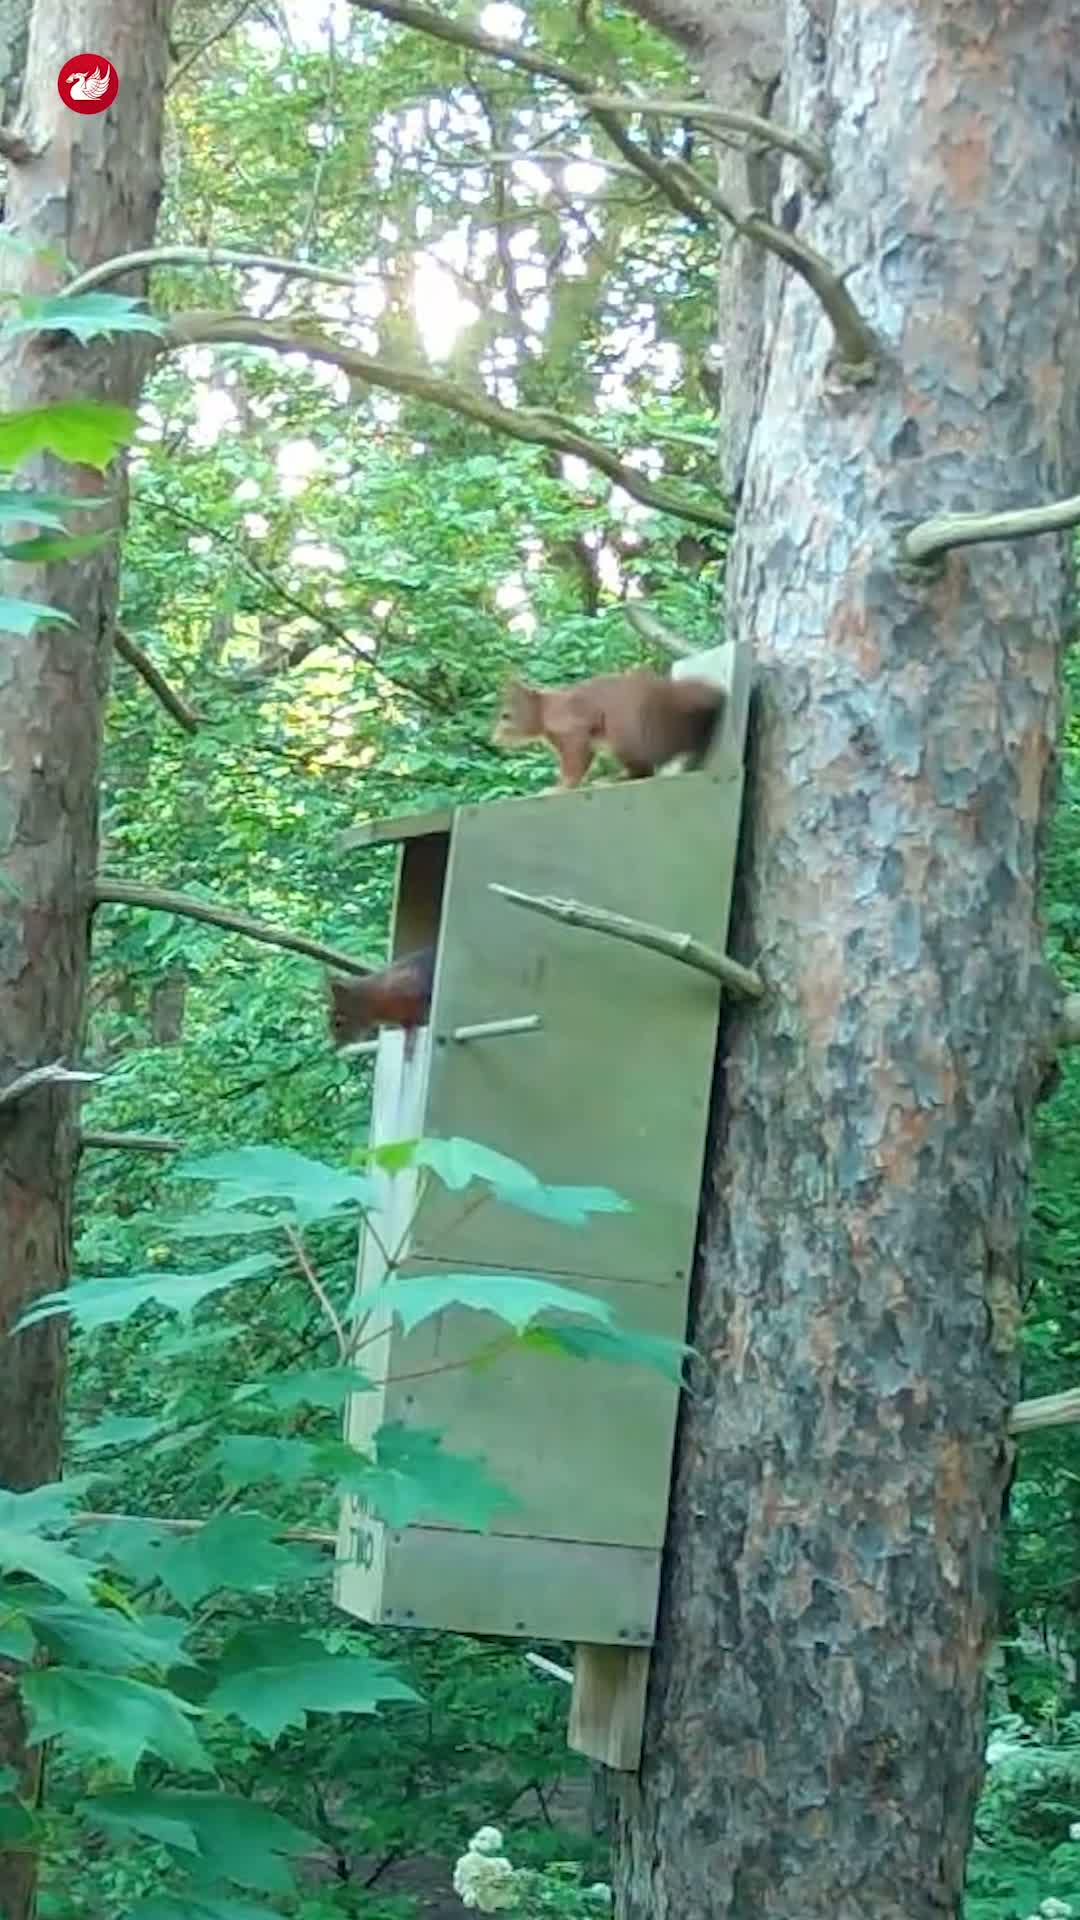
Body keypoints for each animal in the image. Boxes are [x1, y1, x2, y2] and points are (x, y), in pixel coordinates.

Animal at [491, 667, 725, 789]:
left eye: (505, 716)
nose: (493, 739)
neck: (546, 710)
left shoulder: (573, 730)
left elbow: (574, 765)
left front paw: (560, 787)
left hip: (625, 734)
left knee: (644, 771)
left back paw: (613, 778)